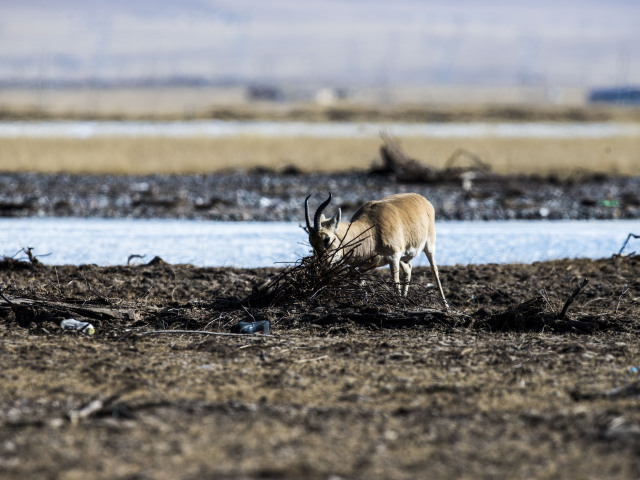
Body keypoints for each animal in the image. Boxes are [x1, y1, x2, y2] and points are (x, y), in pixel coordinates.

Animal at [306, 193, 450, 310]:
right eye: (311, 241)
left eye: (326, 239)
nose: (320, 265)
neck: (372, 229)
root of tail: (423, 200)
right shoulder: (363, 266)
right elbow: (360, 283)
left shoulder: (393, 257)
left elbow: (395, 281)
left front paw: (397, 303)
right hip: (404, 258)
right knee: (408, 268)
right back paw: (405, 299)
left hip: (428, 247)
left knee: (434, 269)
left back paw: (445, 305)